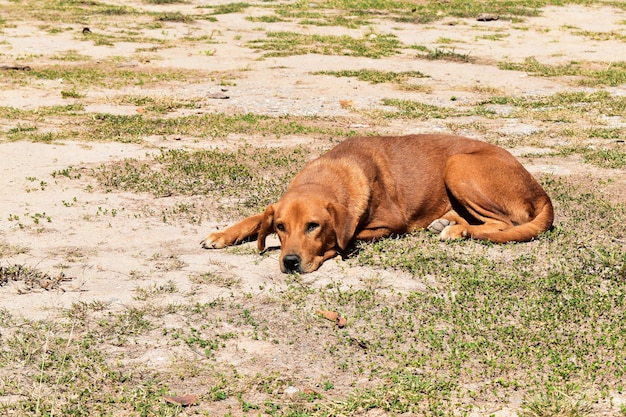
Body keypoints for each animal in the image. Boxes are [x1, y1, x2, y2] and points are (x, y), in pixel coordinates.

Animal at [200, 133, 552, 274]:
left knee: (504, 224)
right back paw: (450, 222)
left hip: (459, 166)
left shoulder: (390, 224)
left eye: (314, 226)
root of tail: (540, 191)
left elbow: (348, 237)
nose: (289, 262)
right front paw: (221, 234)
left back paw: (457, 231)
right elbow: (256, 217)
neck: (333, 172)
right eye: (281, 228)